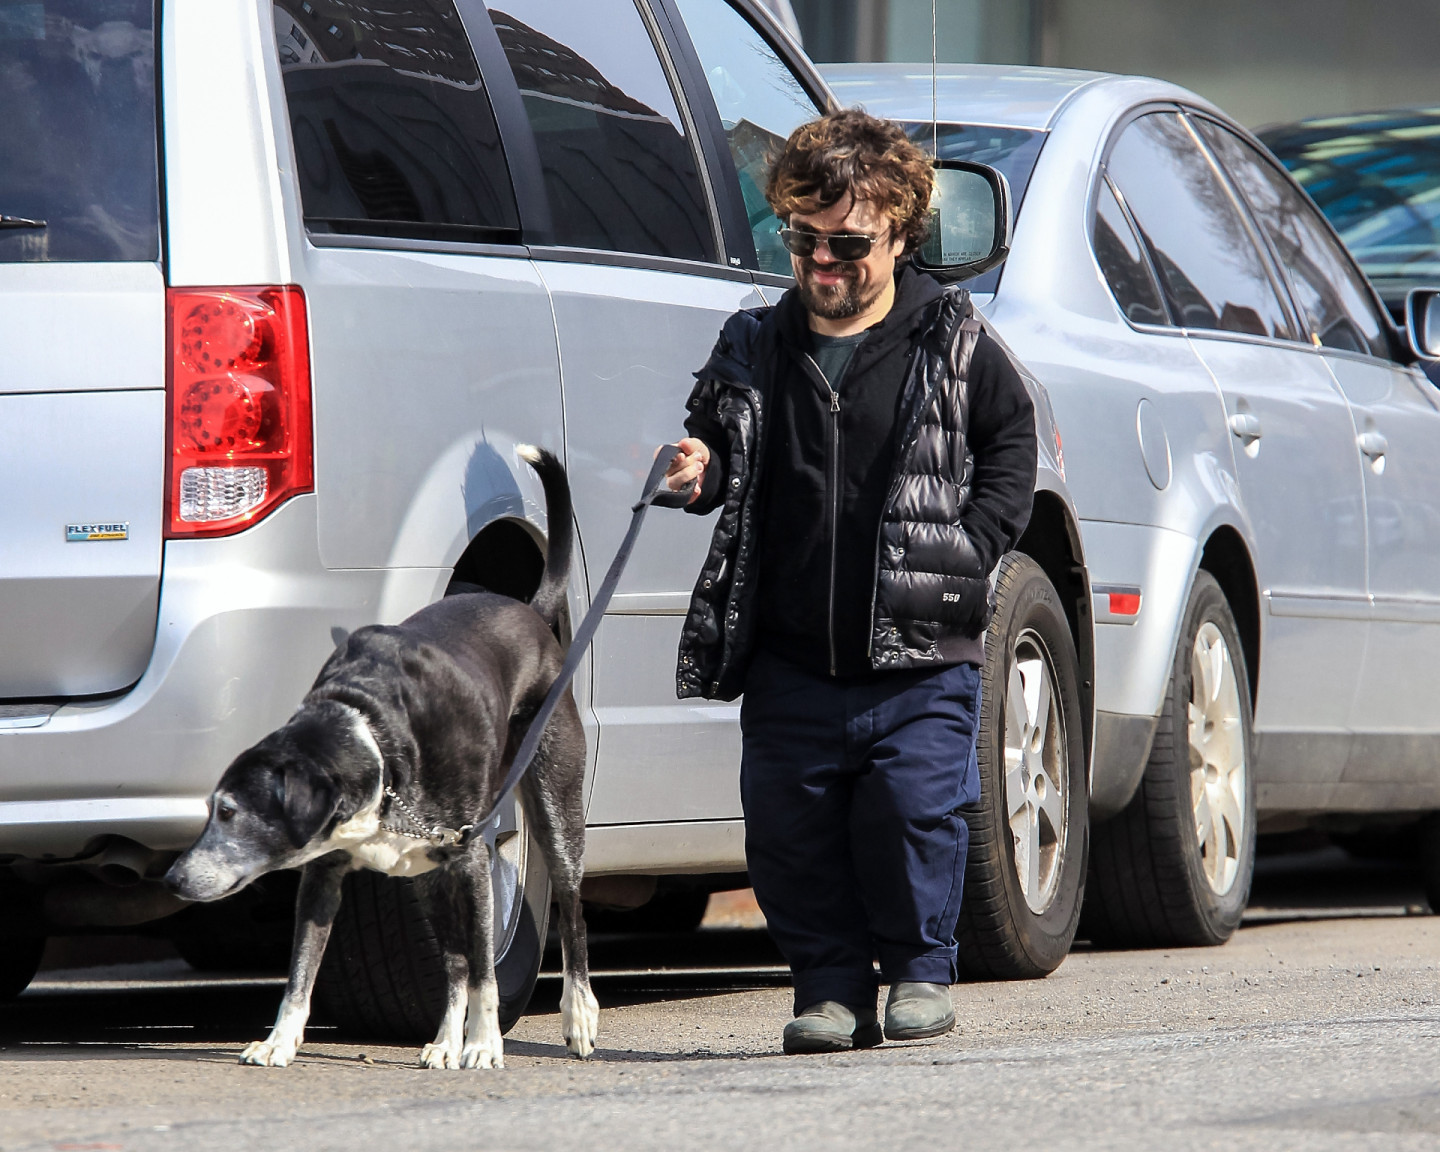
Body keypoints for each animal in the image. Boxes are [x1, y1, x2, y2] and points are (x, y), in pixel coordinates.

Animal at [164, 446, 596, 1065]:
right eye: (210, 810)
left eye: (229, 812)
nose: (173, 879)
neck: (376, 742)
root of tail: (531, 612)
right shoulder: (322, 874)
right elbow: (301, 971)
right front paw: (279, 1042)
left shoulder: (472, 859)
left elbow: (486, 971)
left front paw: (485, 1044)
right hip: (428, 877)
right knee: (452, 963)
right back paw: (443, 1042)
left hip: (554, 811)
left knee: (569, 908)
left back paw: (576, 1017)